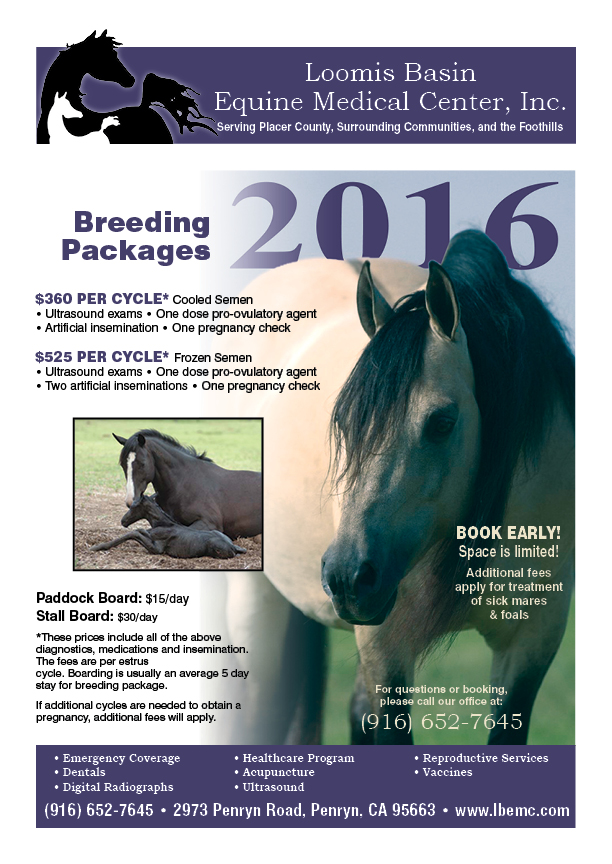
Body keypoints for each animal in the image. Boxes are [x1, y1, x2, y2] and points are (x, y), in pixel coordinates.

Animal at [91, 495, 246, 559]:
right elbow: (140, 531)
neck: (163, 523)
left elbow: (134, 532)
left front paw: (97, 547)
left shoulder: (157, 549)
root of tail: (232, 547)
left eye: (134, 506)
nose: (123, 521)